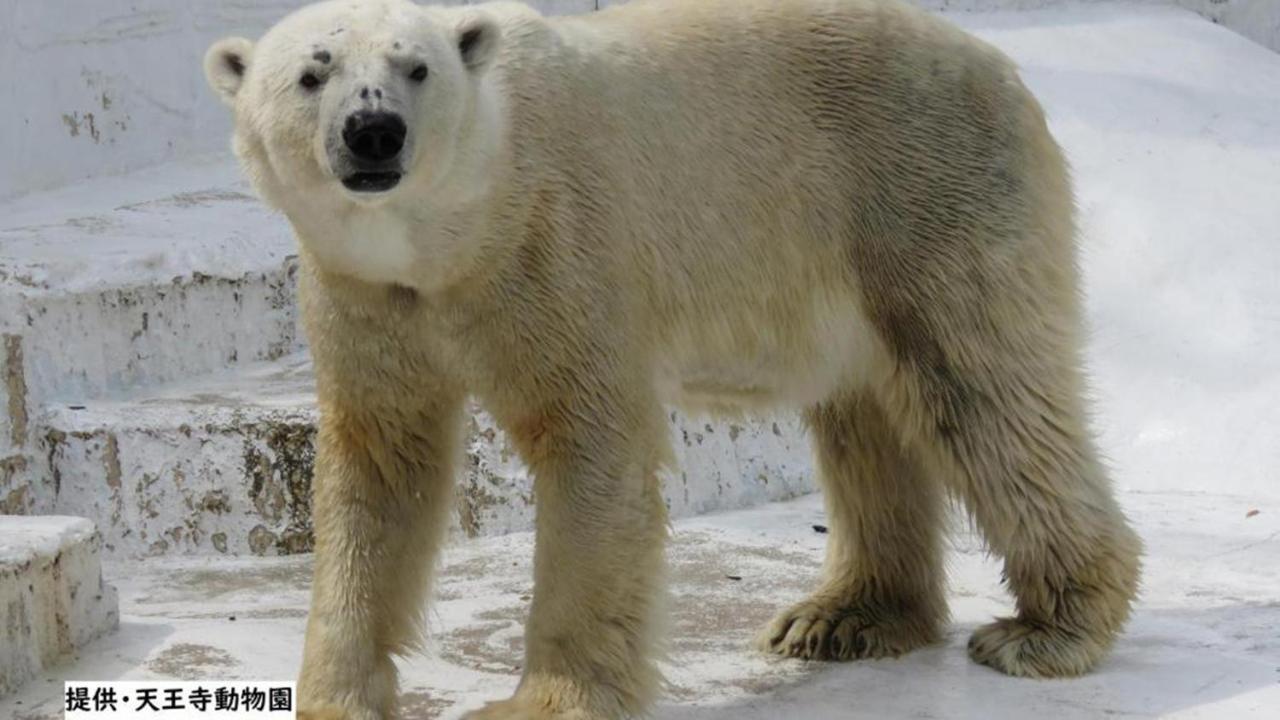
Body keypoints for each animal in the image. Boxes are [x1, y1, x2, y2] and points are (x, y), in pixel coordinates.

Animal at [207, 0, 1141, 712]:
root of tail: (1003, 67)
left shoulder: (556, 251)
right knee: (868, 419)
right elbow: (380, 468)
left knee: (986, 394)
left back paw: (1047, 629)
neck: (456, 234)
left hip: (924, 194)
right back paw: (844, 617)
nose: (374, 133)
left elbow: (590, 448)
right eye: (313, 73)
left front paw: (544, 699)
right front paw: (337, 694)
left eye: (416, 69)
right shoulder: (368, 295)